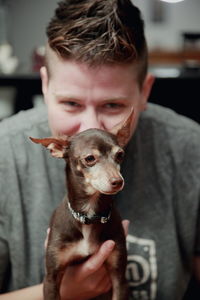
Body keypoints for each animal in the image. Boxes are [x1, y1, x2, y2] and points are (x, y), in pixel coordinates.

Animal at [30, 110, 133, 300]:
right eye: (90, 158)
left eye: (120, 155)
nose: (118, 181)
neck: (89, 215)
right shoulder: (51, 278)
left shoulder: (119, 278)